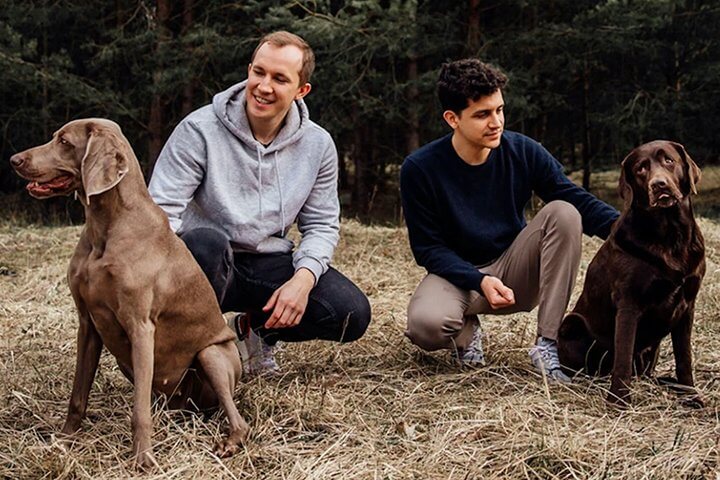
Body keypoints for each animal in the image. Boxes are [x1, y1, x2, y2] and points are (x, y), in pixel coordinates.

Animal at [8, 119, 249, 468]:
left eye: (64, 141)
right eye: (55, 137)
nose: (14, 160)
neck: (106, 229)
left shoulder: (140, 327)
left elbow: (139, 412)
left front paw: (142, 459)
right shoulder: (87, 324)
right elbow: (78, 395)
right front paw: (64, 442)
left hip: (212, 354)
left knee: (237, 419)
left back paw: (228, 442)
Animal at [556, 141, 704, 406]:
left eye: (669, 160)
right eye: (640, 169)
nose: (659, 185)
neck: (670, 236)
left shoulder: (688, 304)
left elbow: (684, 358)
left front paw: (691, 397)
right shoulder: (629, 303)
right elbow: (623, 357)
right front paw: (619, 401)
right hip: (571, 324)